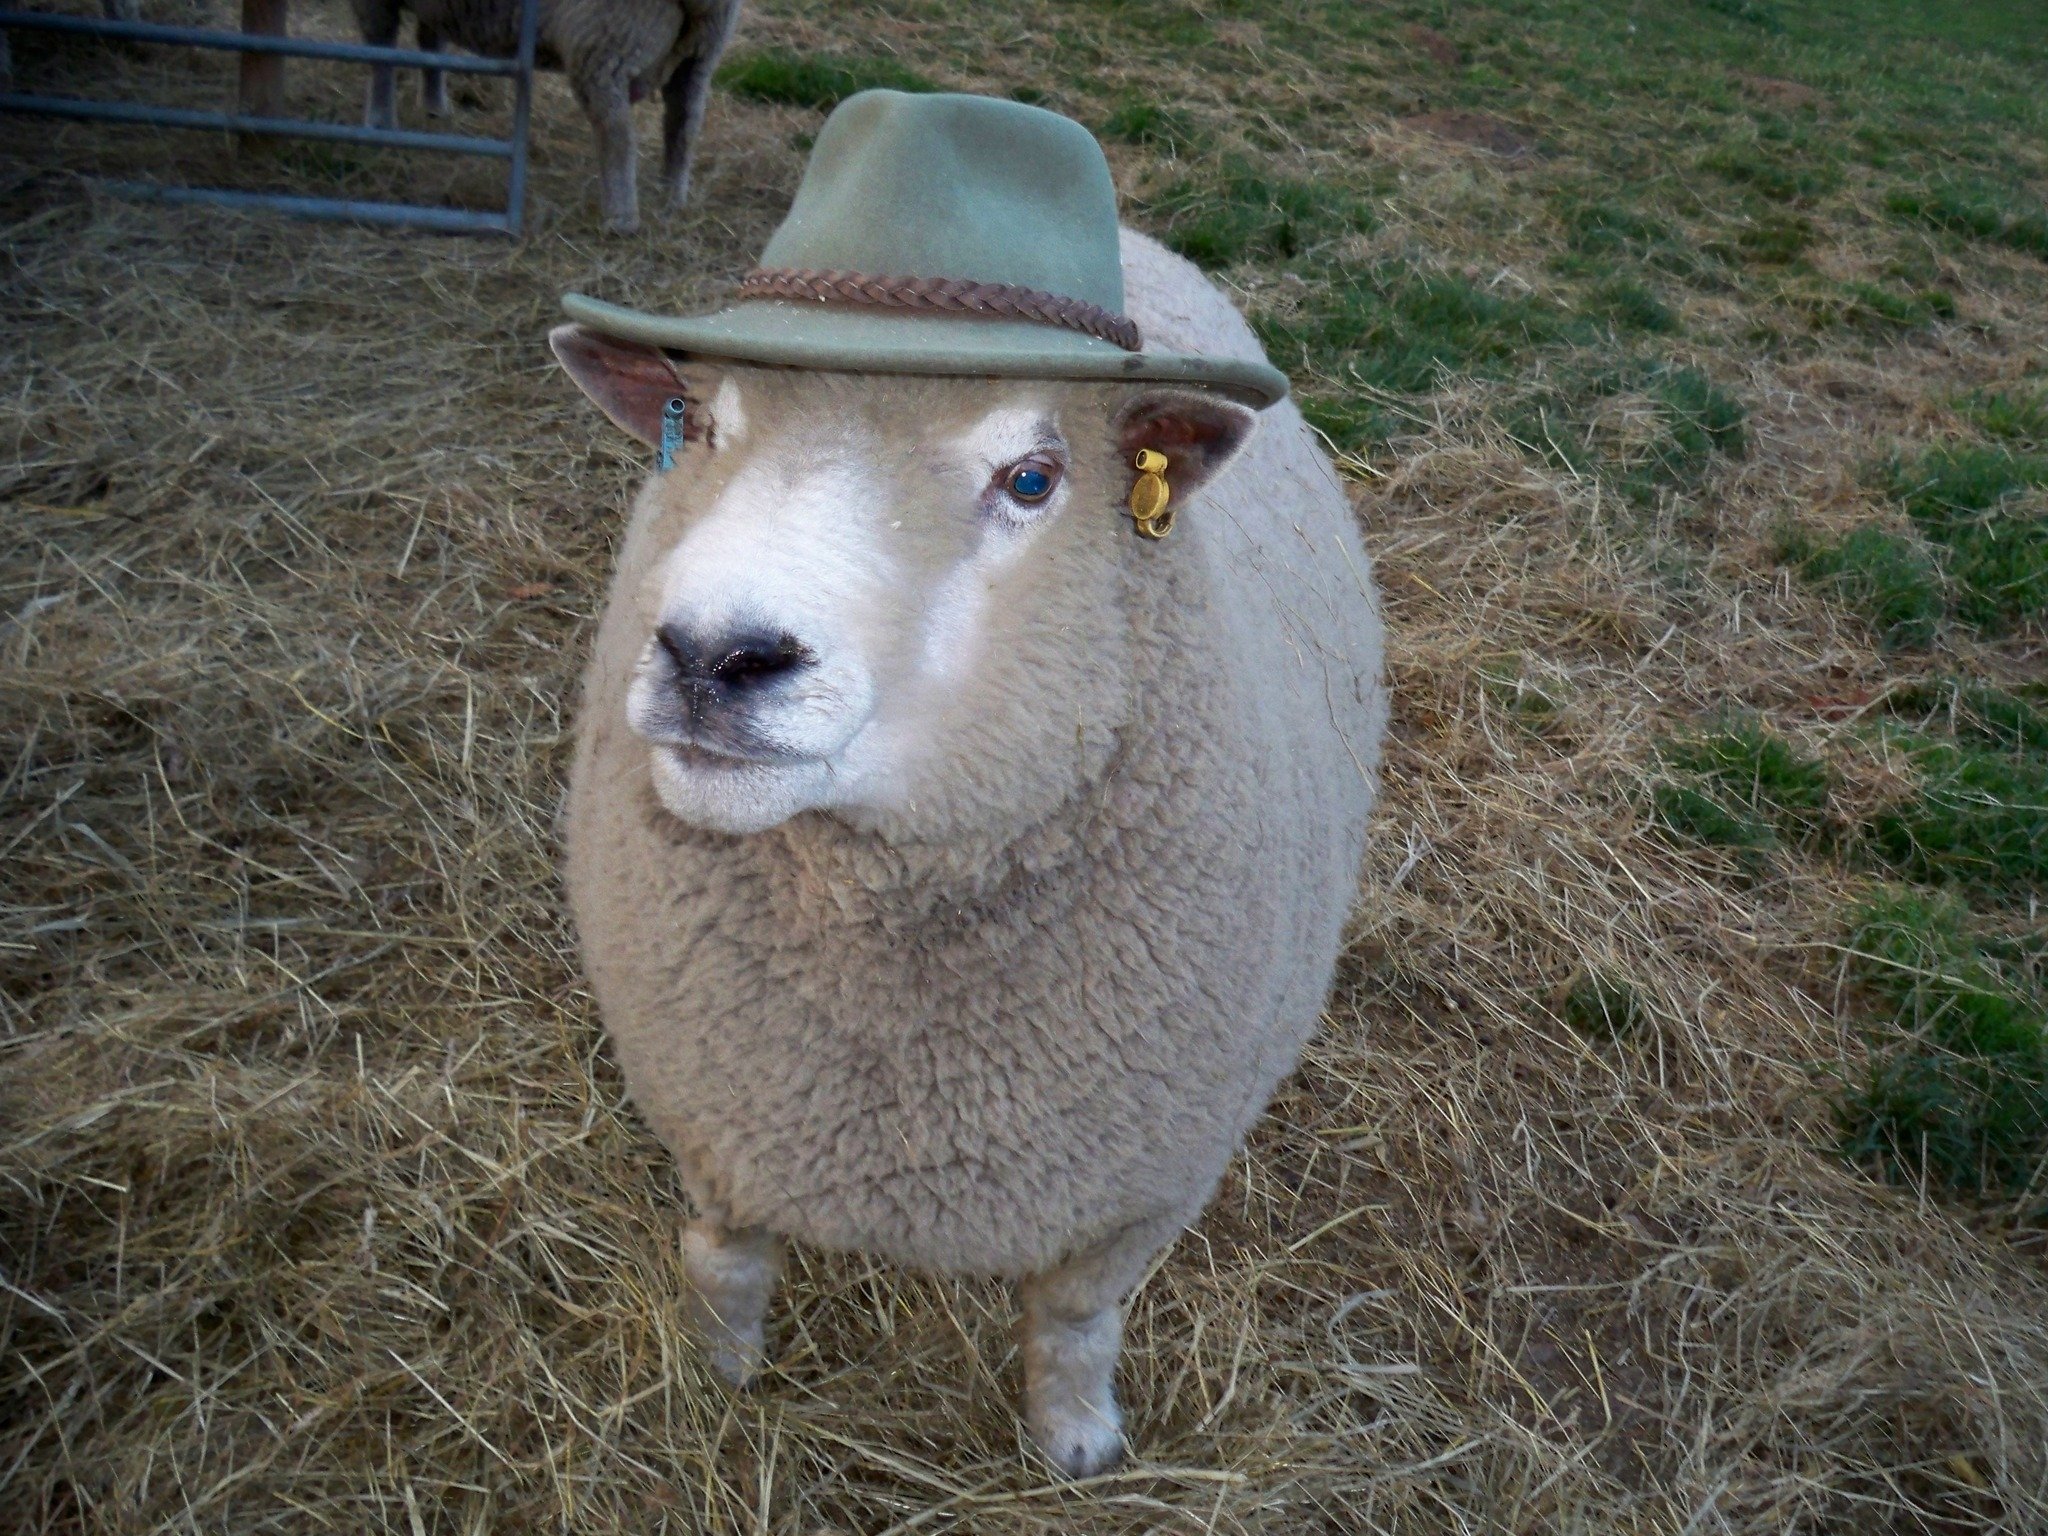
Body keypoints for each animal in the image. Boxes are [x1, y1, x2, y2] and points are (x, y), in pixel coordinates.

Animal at [349, 0, 742, 232]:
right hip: (702, 51)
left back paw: (621, 219)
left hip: (605, 37)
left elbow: (381, 45)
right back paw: (670, 201)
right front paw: (432, 106)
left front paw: (379, 124)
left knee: (617, 135)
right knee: (684, 125)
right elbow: (430, 40)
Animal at [548, 228, 1386, 1475]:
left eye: (1031, 479)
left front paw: (1075, 1439)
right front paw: (719, 1374)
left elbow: (1076, 1317)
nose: (710, 653)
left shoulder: (1142, 1185)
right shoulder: (714, 1110)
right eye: (697, 427)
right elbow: (725, 1262)